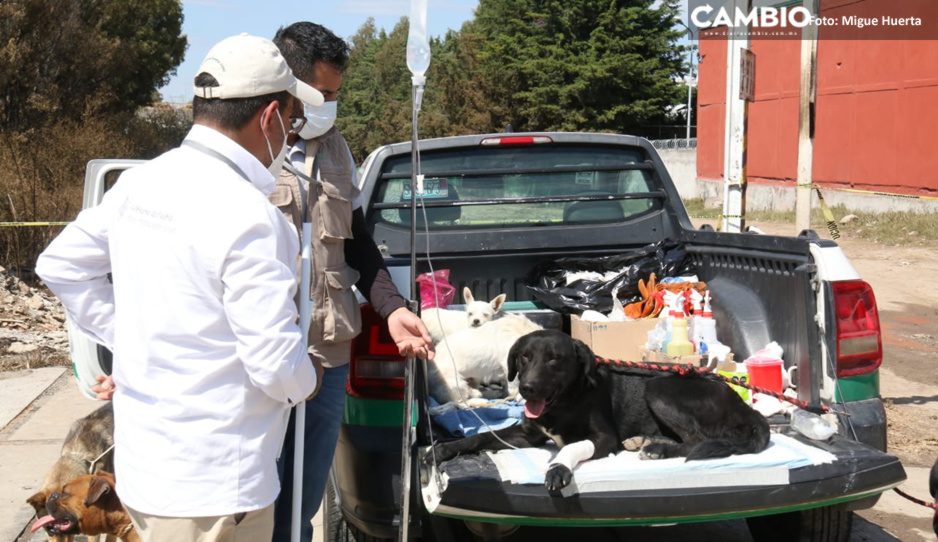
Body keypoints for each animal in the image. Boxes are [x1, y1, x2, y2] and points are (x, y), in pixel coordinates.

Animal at [430, 330, 768, 496]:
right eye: (524, 357)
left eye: (554, 359)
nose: (526, 388)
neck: (566, 400)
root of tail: (742, 405)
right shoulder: (526, 434)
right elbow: (480, 436)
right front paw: (445, 448)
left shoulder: (603, 437)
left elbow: (571, 447)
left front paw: (558, 468)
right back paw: (646, 441)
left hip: (659, 387)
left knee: (696, 439)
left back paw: (657, 449)